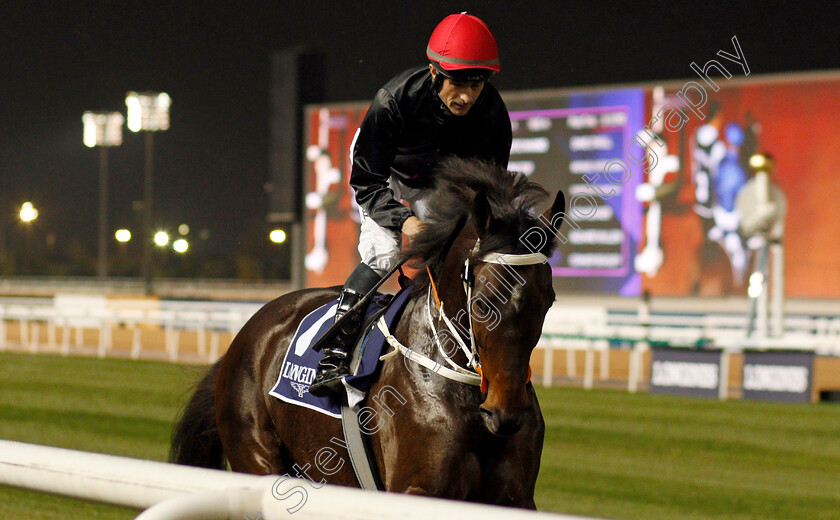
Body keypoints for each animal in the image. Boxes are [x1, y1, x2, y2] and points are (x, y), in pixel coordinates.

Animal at [170, 157, 564, 508]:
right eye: (483, 303)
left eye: (548, 301)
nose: (506, 414)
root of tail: (248, 332)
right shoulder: (417, 491)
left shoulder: (515, 499)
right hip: (256, 455)